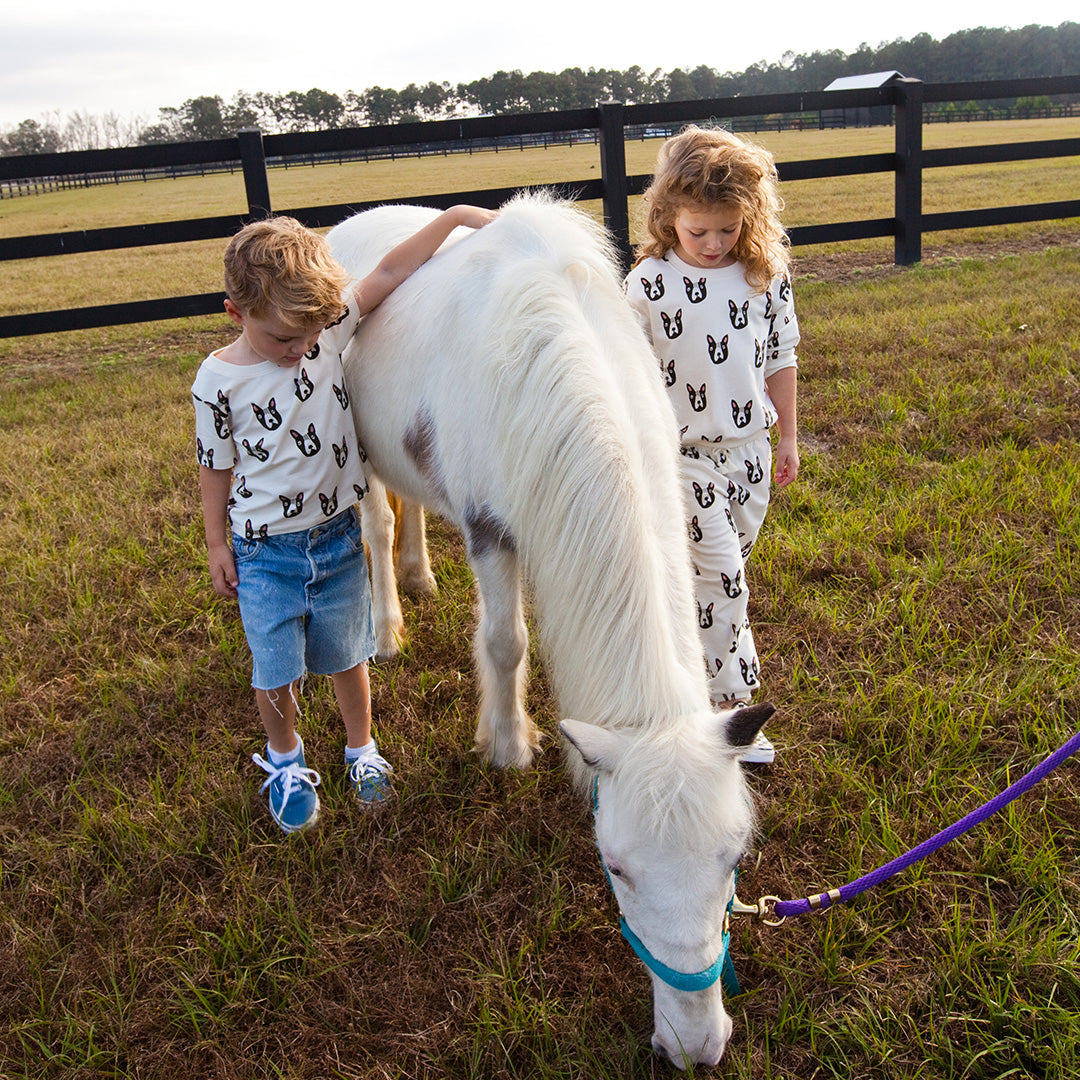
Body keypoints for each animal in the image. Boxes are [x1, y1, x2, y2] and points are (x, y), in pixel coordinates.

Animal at [326, 196, 768, 1071]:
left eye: (734, 859)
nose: (696, 1046)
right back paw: (389, 626)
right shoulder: (491, 531)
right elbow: (506, 645)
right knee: (377, 526)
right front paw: (507, 747)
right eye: (617, 868)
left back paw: (421, 577)